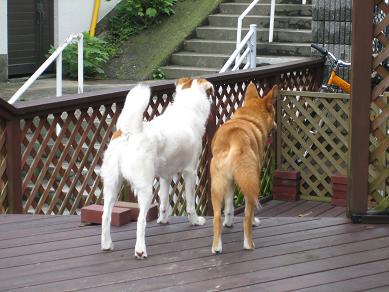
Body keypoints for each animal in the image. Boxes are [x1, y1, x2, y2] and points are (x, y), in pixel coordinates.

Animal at [100, 77, 214, 258]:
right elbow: (190, 204)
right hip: (145, 188)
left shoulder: (165, 176)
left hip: (112, 184)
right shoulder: (190, 172)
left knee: (105, 216)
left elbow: (164, 202)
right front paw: (195, 221)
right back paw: (140, 250)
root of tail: (129, 132)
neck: (186, 108)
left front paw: (163, 220)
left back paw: (106, 245)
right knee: (140, 220)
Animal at [211, 82, 278, 253]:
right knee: (247, 215)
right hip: (252, 179)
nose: (275, 126)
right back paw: (249, 244)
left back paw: (216, 247)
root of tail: (236, 138)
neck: (248, 118)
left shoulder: (230, 182)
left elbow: (229, 206)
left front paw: (229, 222)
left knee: (216, 217)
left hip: (216, 185)